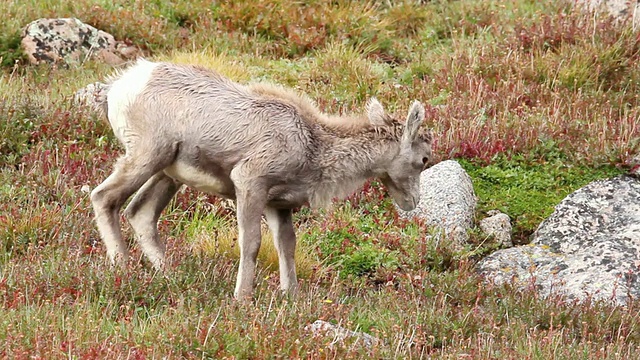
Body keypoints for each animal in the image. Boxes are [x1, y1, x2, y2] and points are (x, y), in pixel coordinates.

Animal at [91, 59, 436, 300]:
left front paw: (290, 296)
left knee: (141, 213)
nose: (413, 202)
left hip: (168, 174)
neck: (313, 145)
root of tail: (120, 86)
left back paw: (169, 274)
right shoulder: (249, 183)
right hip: (147, 157)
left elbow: (287, 246)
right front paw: (242, 297)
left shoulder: (279, 205)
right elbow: (252, 243)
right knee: (104, 197)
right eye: (424, 160)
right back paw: (122, 267)